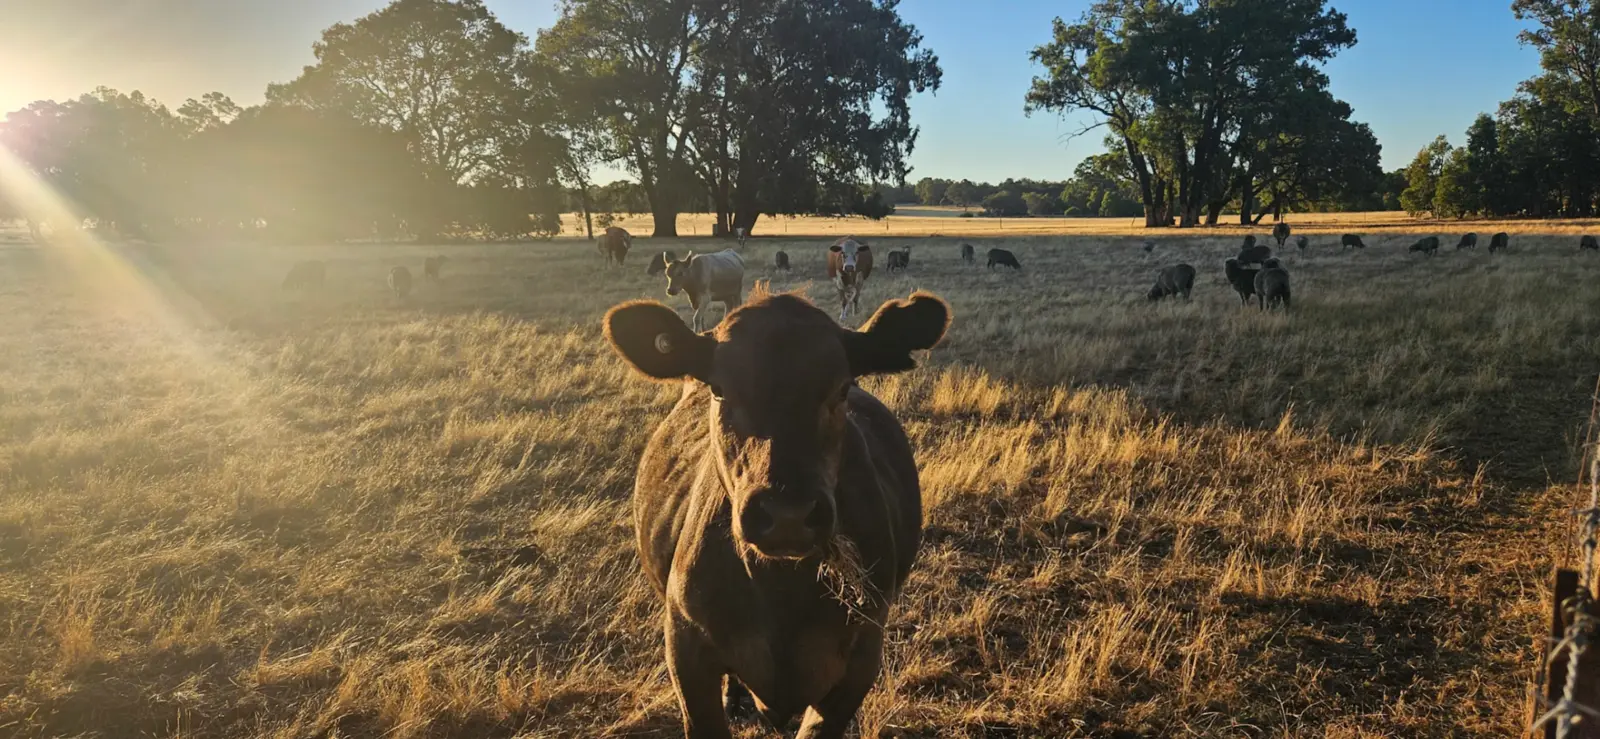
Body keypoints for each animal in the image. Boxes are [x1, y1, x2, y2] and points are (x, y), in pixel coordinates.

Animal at [602, 286, 951, 739]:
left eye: (842, 388)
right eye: (719, 388)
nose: (788, 514)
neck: (781, 595)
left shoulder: (861, 658)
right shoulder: (685, 647)